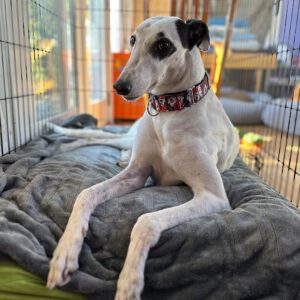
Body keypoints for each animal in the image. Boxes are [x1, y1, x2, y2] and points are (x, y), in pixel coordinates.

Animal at [46, 16, 239, 300]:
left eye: (164, 45)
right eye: (132, 40)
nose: (119, 87)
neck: (170, 111)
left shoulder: (212, 195)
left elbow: (146, 220)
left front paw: (130, 281)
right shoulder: (136, 174)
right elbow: (86, 194)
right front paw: (64, 253)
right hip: (129, 138)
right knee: (96, 138)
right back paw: (68, 146)